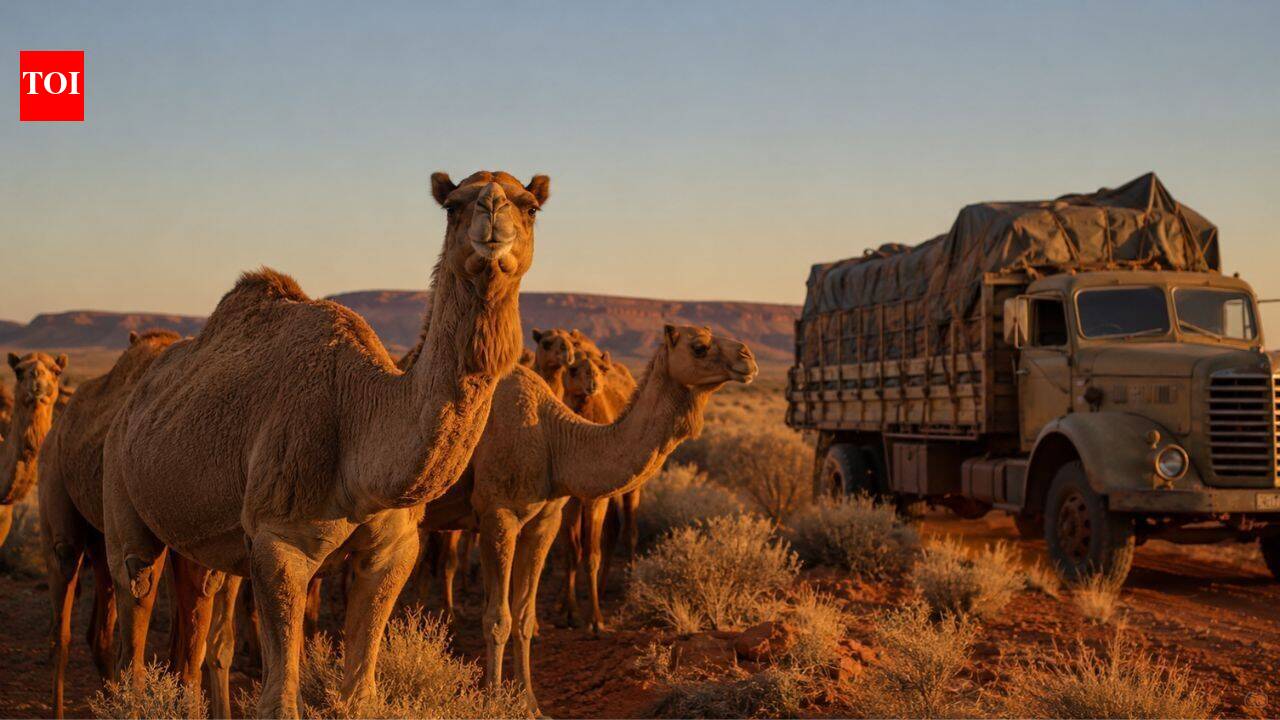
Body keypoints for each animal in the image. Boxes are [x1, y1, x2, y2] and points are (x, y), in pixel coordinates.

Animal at [100, 170, 548, 718]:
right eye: (453, 205)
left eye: (530, 206)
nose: (492, 211)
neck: (358, 416)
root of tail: (129, 404)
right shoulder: (279, 540)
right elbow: (279, 699)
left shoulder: (395, 548)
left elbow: (361, 691)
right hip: (119, 486)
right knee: (135, 593)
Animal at [421, 324, 757, 713]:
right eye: (699, 346)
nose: (747, 358)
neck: (554, 441)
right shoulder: (498, 515)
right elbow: (497, 617)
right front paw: (493, 703)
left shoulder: (544, 521)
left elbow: (524, 616)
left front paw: (530, 703)